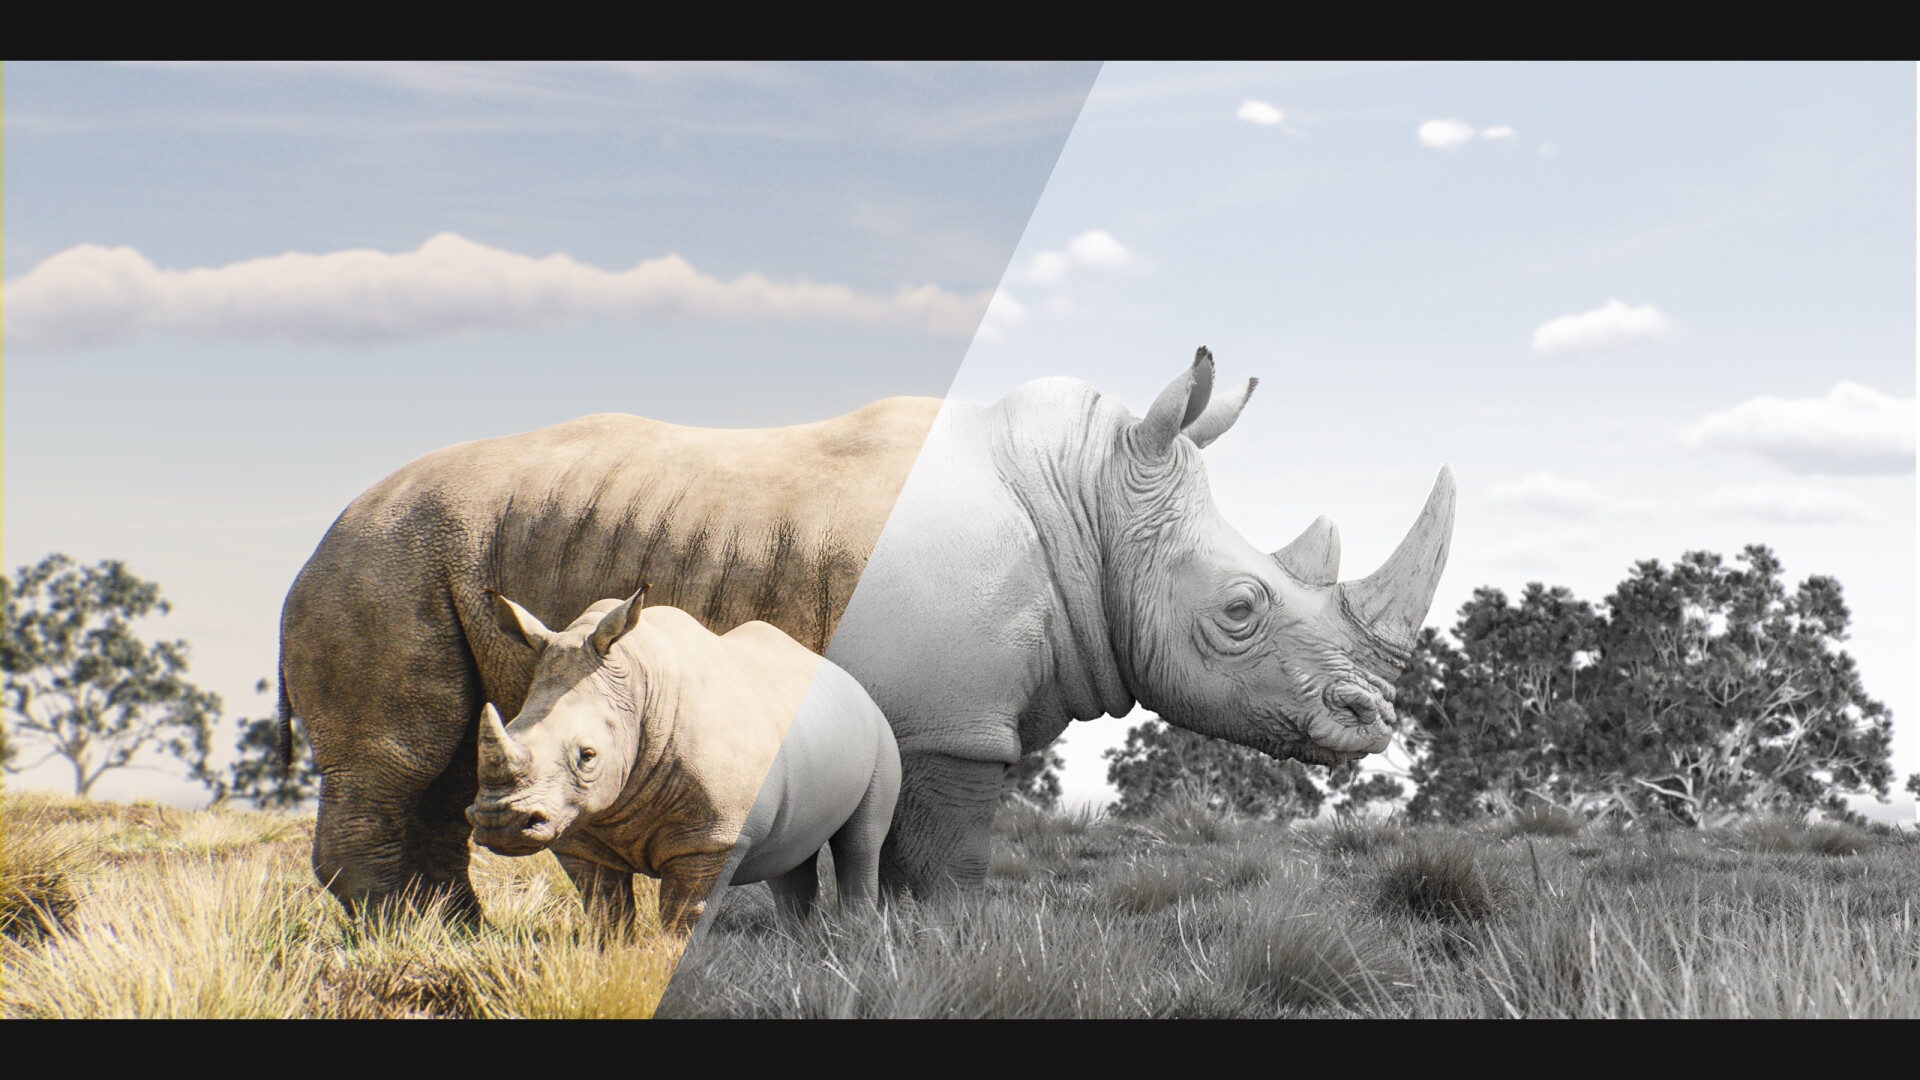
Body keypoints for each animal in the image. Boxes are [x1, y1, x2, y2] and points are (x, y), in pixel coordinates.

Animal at [466, 587, 900, 935]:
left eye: (587, 756)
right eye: (511, 729)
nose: (500, 823)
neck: (637, 684)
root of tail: (856, 685)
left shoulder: (712, 838)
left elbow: (684, 914)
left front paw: (675, 961)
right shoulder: (579, 831)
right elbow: (606, 908)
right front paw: (611, 958)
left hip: (881, 731)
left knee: (861, 841)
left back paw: (856, 937)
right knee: (789, 852)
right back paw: (796, 941)